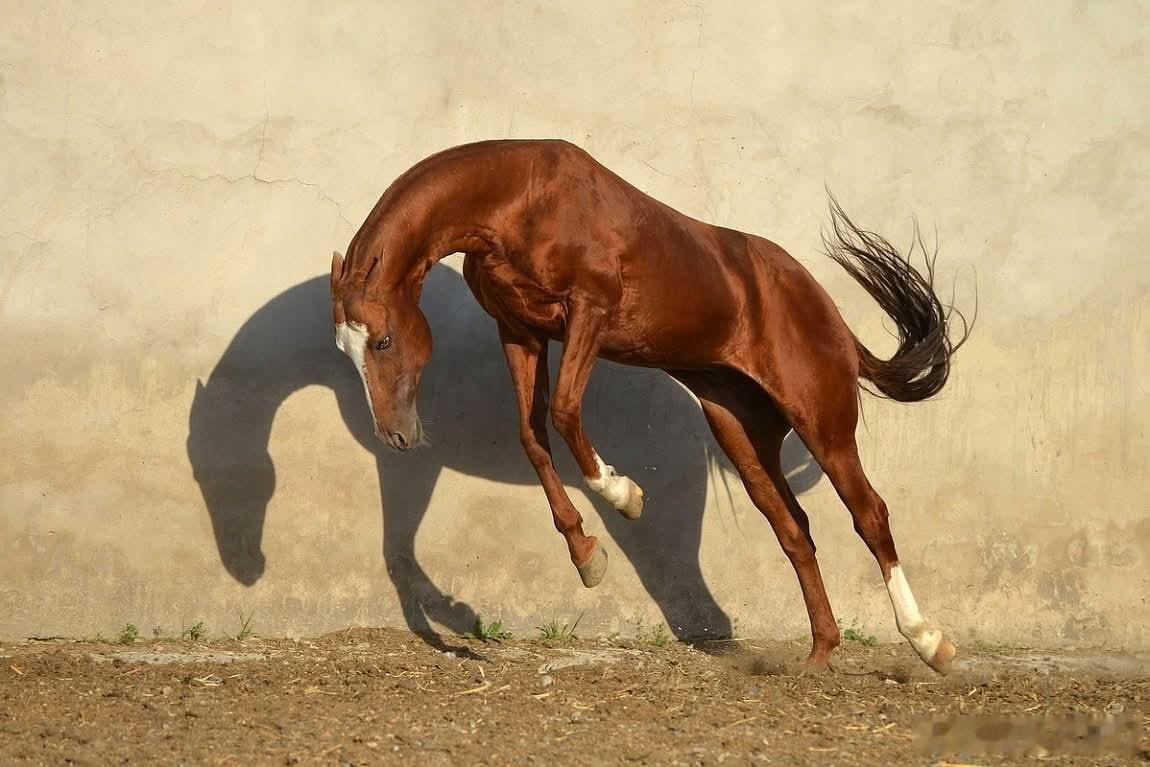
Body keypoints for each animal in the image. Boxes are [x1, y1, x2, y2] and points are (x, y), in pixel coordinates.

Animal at [330, 139, 971, 673]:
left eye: (382, 341)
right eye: (344, 349)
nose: (396, 435)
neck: (520, 197)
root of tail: (826, 312)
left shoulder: (588, 310)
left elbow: (565, 411)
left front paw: (625, 496)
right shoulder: (520, 332)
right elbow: (532, 435)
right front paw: (587, 557)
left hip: (823, 422)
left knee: (870, 515)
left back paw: (929, 643)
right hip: (744, 435)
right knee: (794, 530)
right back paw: (819, 655)